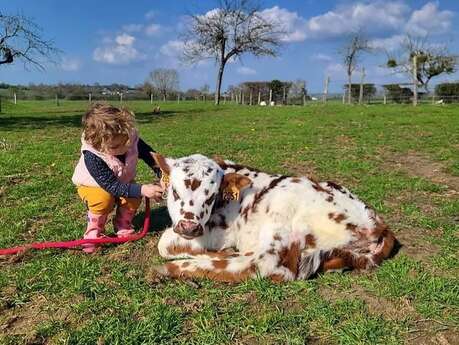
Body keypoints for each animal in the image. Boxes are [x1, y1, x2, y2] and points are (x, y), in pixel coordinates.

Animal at [153, 153, 398, 282]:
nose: (189, 227)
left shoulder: (221, 231)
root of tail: (379, 225)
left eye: (211, 196)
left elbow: (164, 243)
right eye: (175, 191)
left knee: (262, 265)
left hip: (283, 216)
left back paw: (174, 268)